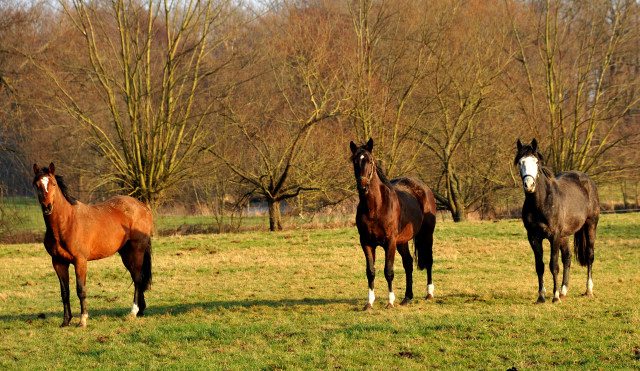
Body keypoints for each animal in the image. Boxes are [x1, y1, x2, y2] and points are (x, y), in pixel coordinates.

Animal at [32, 164, 154, 326]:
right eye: (37, 185)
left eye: (53, 184)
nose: (47, 207)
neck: (67, 223)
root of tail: (144, 207)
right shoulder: (58, 262)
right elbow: (65, 292)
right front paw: (66, 321)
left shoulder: (80, 261)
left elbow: (80, 290)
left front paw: (83, 319)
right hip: (126, 253)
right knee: (135, 277)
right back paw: (140, 310)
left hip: (137, 250)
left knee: (139, 279)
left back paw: (134, 311)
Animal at [348, 140, 438, 310]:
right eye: (355, 161)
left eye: (370, 161)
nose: (363, 187)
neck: (375, 208)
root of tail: (424, 187)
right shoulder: (366, 243)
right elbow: (370, 272)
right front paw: (369, 303)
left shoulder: (389, 242)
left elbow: (388, 271)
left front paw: (390, 302)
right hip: (402, 242)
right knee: (408, 263)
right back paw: (407, 297)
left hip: (426, 234)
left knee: (429, 260)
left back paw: (429, 293)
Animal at [516, 140, 600, 306]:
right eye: (521, 162)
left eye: (536, 162)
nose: (529, 185)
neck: (541, 203)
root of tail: (587, 180)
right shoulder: (533, 237)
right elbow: (540, 266)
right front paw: (541, 297)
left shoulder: (553, 236)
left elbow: (553, 265)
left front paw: (555, 297)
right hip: (564, 236)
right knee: (567, 257)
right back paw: (563, 291)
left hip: (590, 225)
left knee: (589, 255)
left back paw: (588, 290)